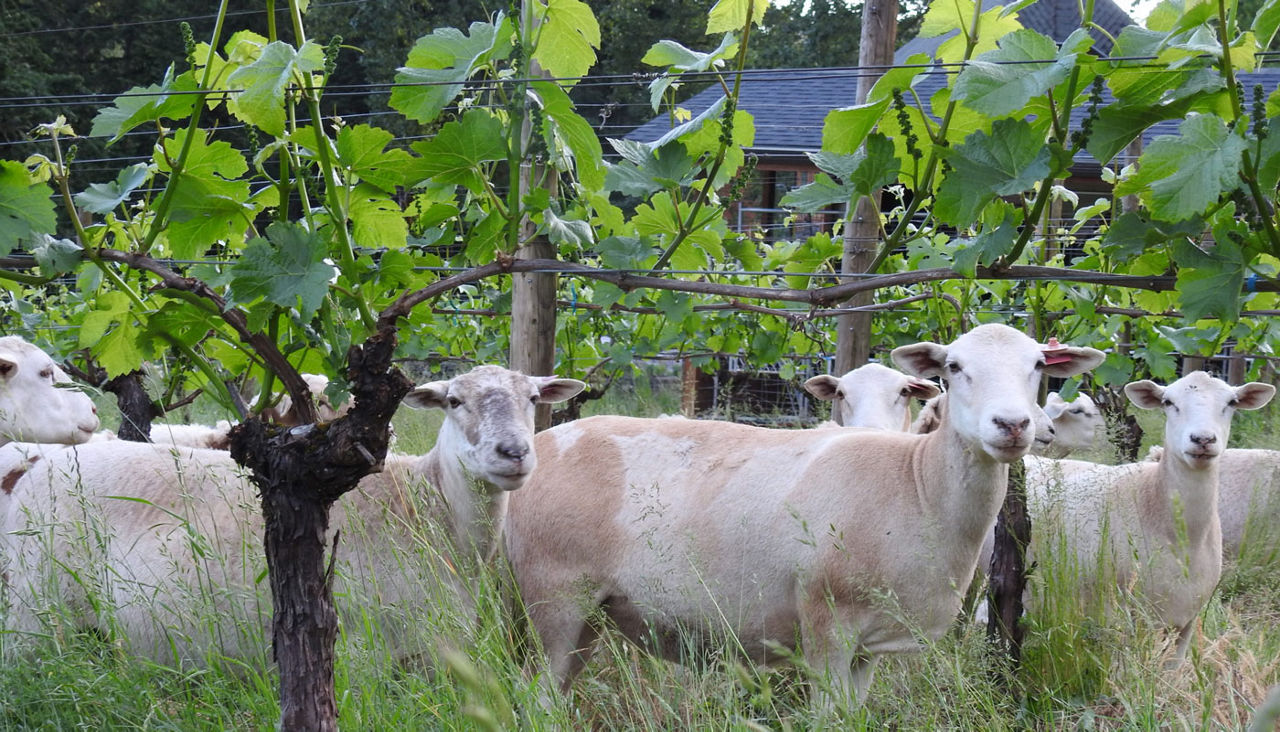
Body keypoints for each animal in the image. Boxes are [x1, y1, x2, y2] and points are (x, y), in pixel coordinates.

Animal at [2, 363, 586, 665]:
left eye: (533, 398)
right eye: (455, 402)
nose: (514, 453)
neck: (431, 507)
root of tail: (39, 464)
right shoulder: (364, 651)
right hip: (32, 618)